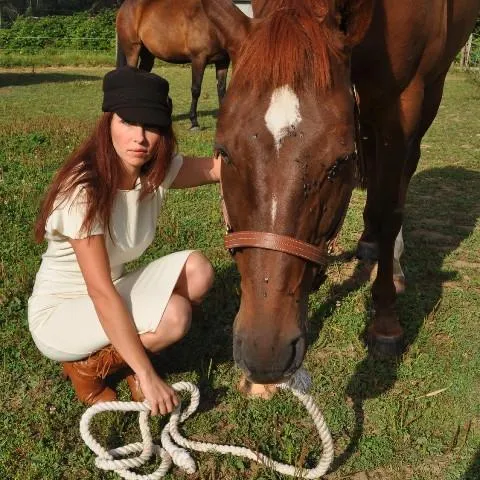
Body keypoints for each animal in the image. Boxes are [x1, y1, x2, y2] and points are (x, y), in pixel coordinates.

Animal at [115, 0, 230, 129]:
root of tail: (124, 7)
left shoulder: (223, 61)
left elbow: (221, 89)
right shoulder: (198, 59)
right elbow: (196, 89)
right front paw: (194, 122)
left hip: (148, 55)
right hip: (133, 50)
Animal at [200, 0, 480, 384]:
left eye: (339, 162)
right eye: (224, 152)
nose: (265, 354)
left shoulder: (403, 100)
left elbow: (390, 208)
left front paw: (385, 321)